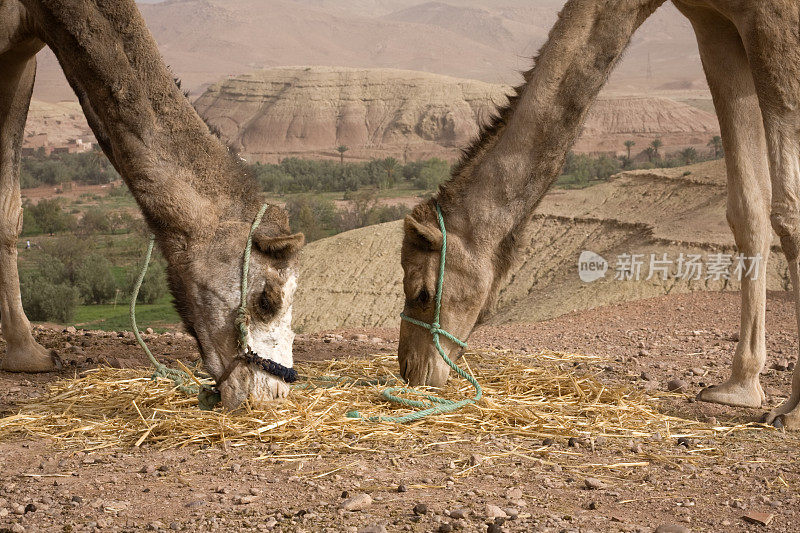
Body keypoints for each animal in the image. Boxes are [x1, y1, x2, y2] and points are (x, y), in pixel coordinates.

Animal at [0, 0, 304, 408]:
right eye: (266, 300)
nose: (273, 392)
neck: (48, 9)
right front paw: (28, 354)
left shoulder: (21, 51)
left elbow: (9, 211)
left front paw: (27, 356)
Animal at [398, 0, 800, 428]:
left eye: (422, 293)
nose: (410, 369)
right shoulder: (711, 22)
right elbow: (748, 208)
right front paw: (740, 388)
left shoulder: (772, 15)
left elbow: (789, 211)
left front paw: (791, 411)